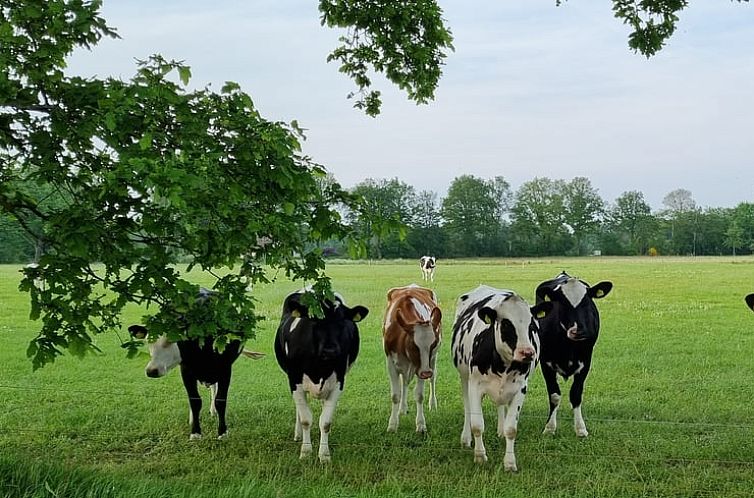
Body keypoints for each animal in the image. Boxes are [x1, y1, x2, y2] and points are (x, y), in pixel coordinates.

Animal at [128, 292, 260, 440]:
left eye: (170, 340)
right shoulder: (186, 370)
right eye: (148, 342)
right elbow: (194, 400)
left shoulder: (225, 369)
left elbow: (220, 400)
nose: (151, 370)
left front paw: (222, 432)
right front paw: (195, 432)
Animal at [276, 288, 370, 462]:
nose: (330, 350)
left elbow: (325, 422)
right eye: (314, 320)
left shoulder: (338, 382)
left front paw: (324, 455)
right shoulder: (294, 380)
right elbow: (306, 419)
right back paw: (298, 435)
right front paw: (306, 452)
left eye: (342, 321)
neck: (320, 366)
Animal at [382, 284, 440, 432]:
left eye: (433, 344)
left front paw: (420, 424)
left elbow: (419, 395)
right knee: (405, 382)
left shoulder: (422, 366)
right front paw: (392, 424)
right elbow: (395, 395)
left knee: (432, 379)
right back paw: (402, 409)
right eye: (414, 345)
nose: (426, 373)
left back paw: (432, 404)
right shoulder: (391, 363)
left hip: (432, 361)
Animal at [450, 286, 548, 468]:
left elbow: (512, 429)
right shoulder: (475, 386)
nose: (527, 353)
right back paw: (465, 439)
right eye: (507, 325)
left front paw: (509, 462)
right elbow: (477, 424)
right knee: (467, 409)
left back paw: (500, 430)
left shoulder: (520, 388)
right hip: (464, 377)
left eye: (532, 326)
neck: (503, 364)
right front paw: (480, 456)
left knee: (501, 406)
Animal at [536, 270, 612, 438]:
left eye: (587, 302)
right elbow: (554, 395)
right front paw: (549, 428)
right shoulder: (545, 363)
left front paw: (580, 428)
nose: (579, 331)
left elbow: (576, 394)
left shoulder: (586, 362)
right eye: (563, 303)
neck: (568, 346)